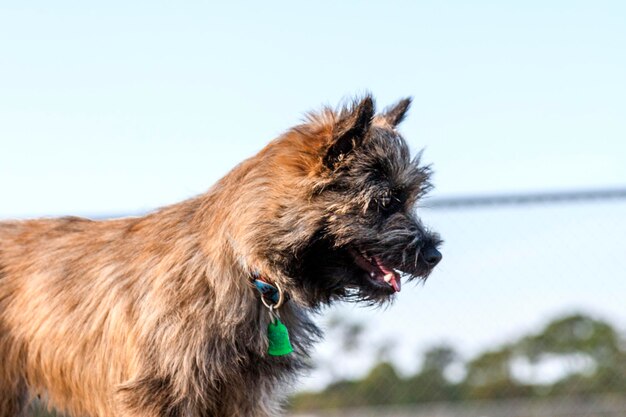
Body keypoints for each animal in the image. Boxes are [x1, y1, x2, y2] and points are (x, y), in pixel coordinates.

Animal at [0, 96, 442, 414]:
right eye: (386, 202)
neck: (246, 266)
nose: (434, 254)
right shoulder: (160, 393)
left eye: (411, 198)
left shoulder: (244, 395)